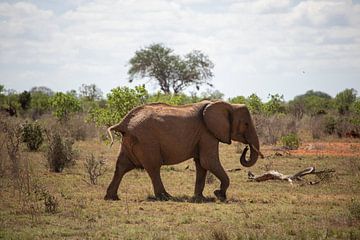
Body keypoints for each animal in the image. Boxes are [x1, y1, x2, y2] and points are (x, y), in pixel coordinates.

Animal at [104, 100, 262, 202]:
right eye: (246, 124)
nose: (246, 147)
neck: (229, 105)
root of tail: (124, 122)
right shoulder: (207, 133)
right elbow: (208, 162)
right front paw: (220, 195)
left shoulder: (203, 135)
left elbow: (201, 165)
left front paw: (200, 198)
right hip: (146, 142)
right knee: (154, 167)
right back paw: (166, 197)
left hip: (131, 141)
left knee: (121, 166)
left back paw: (111, 197)